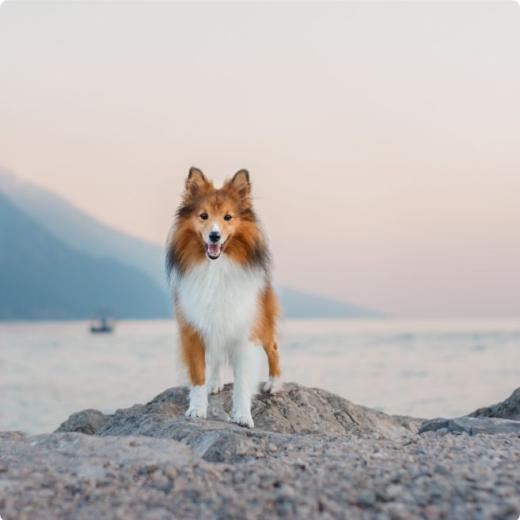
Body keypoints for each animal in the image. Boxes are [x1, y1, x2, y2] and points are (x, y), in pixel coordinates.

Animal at [167, 167, 280, 426]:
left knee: (273, 347)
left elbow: (242, 382)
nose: (214, 236)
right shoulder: (193, 328)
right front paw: (197, 408)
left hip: (263, 321)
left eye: (228, 217)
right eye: (203, 216)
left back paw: (274, 383)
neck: (216, 269)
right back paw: (214, 383)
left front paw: (243, 415)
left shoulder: (245, 332)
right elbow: (197, 374)